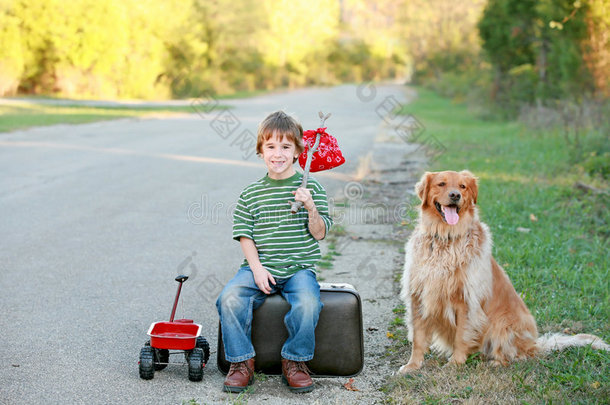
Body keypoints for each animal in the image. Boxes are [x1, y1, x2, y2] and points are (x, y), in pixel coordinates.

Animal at [396, 168, 604, 372]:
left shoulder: (467, 300)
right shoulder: (418, 294)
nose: (455, 195)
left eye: (462, 186)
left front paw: (455, 363)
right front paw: (412, 365)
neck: (446, 237)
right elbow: (418, 338)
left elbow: (462, 336)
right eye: (441, 183)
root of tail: (535, 344)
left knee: (517, 355)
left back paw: (496, 362)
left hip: (504, 324)